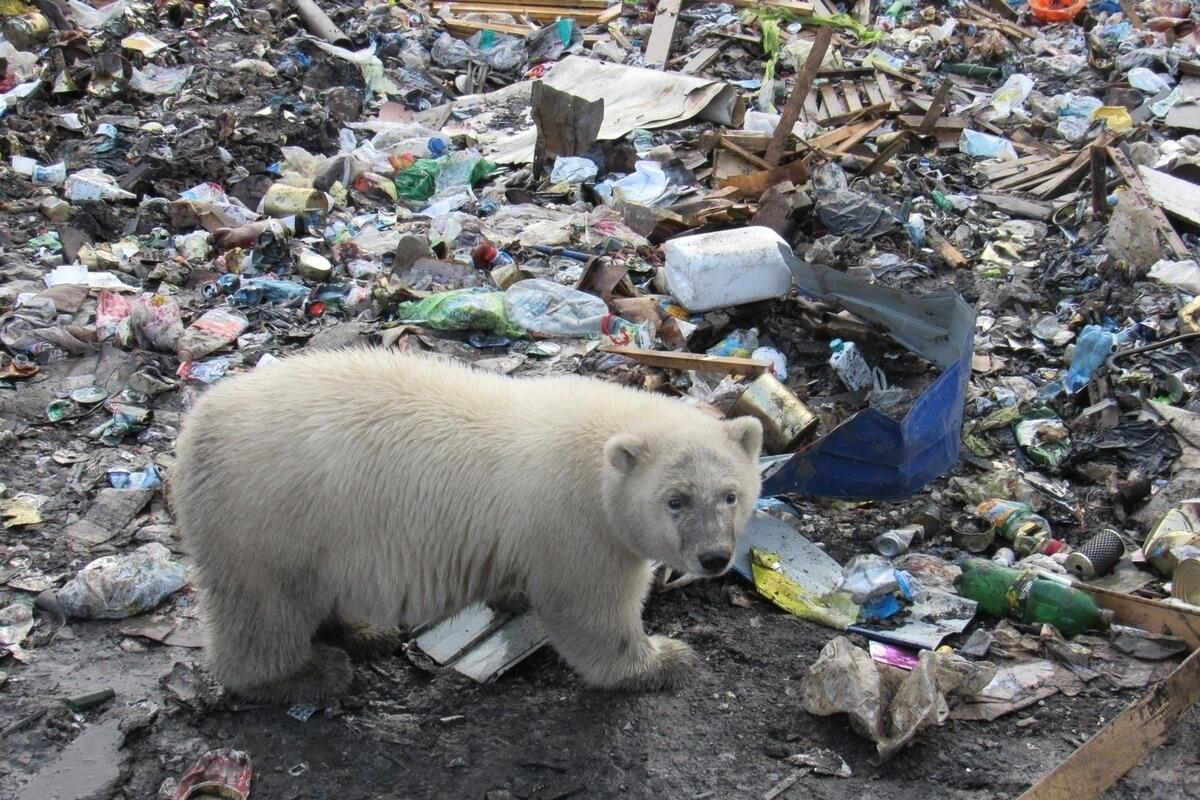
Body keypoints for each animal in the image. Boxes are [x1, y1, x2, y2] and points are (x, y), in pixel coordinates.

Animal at [169, 350, 758, 700]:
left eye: (731, 495)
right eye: (676, 500)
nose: (714, 558)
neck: (599, 446)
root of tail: (195, 429)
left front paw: (510, 595)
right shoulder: (579, 526)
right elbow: (592, 611)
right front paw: (668, 661)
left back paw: (364, 632)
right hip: (268, 518)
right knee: (264, 609)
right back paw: (307, 673)